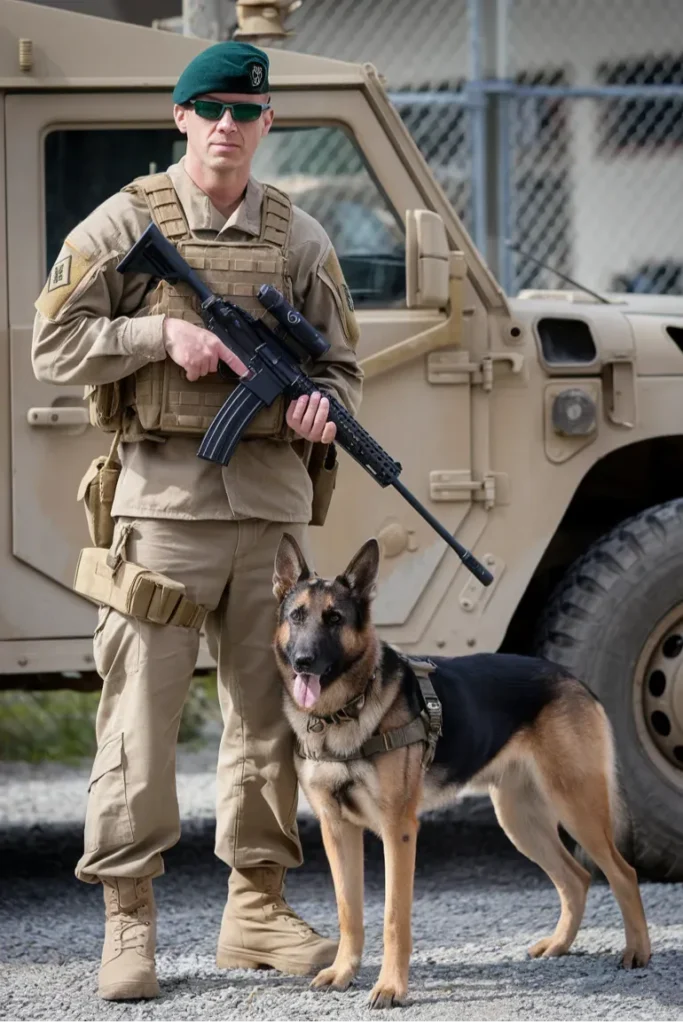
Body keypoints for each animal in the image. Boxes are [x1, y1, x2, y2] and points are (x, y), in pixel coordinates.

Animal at [272, 536, 651, 1007]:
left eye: (335, 618)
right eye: (297, 616)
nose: (304, 661)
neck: (341, 713)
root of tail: (572, 678)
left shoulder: (398, 831)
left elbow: (394, 917)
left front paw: (391, 987)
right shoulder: (337, 829)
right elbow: (348, 911)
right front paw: (343, 972)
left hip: (577, 806)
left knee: (622, 873)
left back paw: (638, 951)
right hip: (520, 821)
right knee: (576, 878)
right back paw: (559, 944)